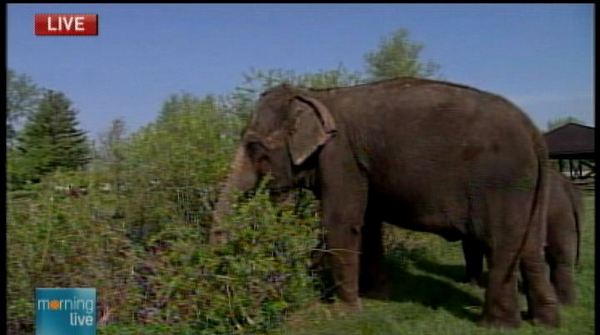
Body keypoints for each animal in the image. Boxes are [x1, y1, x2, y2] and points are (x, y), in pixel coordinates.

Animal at [210, 77, 556, 328]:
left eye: (254, 147)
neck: (317, 96)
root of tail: (534, 132)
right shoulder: (362, 166)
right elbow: (368, 223)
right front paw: (376, 296)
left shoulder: (340, 158)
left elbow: (341, 222)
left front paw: (345, 313)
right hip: (532, 187)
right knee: (531, 248)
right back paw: (543, 321)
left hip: (501, 183)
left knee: (500, 245)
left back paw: (496, 325)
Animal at [464, 169, 580, 306]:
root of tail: (567, 186)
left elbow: (471, 248)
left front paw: (472, 284)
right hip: (563, 219)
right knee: (562, 257)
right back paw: (566, 302)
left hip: (558, 216)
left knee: (558, 257)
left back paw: (563, 301)